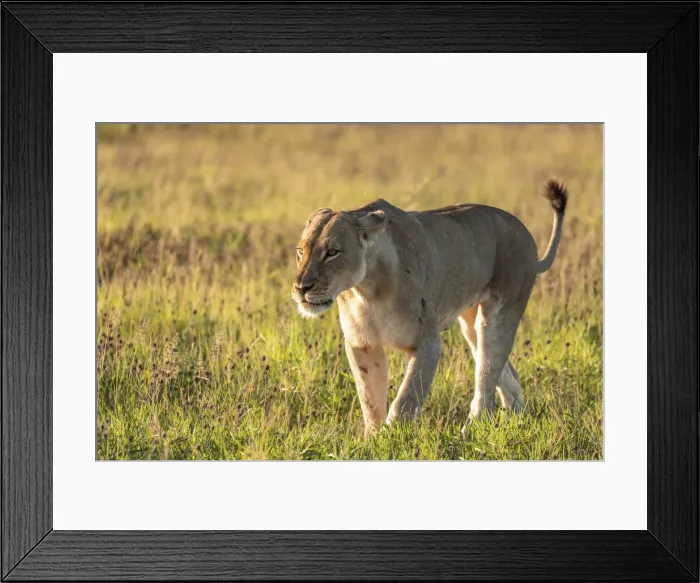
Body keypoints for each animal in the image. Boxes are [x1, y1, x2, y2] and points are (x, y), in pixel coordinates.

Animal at [291, 179, 568, 435]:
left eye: (332, 252)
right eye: (300, 251)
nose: (301, 288)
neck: (367, 290)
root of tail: (524, 232)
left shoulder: (428, 342)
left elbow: (406, 398)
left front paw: (391, 438)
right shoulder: (363, 345)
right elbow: (369, 399)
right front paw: (372, 439)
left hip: (499, 315)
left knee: (486, 378)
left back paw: (470, 432)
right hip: (470, 323)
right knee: (509, 377)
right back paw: (516, 423)